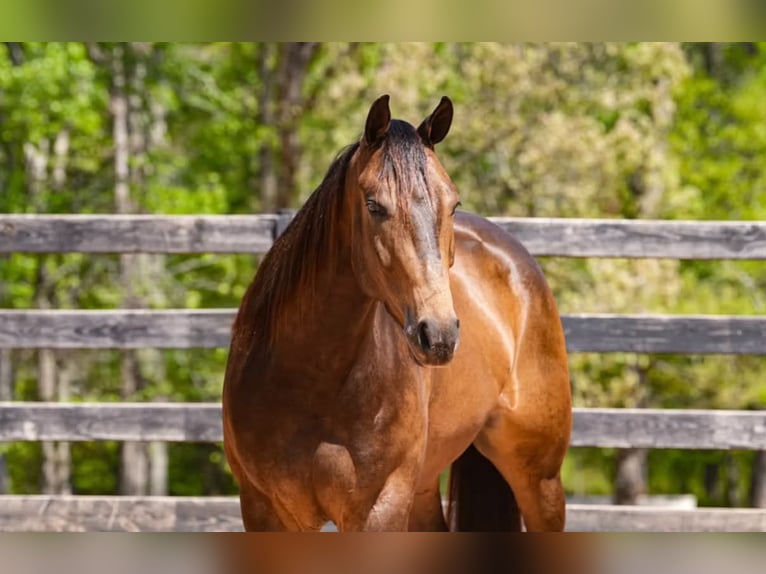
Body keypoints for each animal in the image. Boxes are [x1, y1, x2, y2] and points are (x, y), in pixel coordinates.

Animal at [222, 95, 571, 531]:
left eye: (453, 203)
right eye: (373, 205)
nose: (439, 335)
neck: (310, 380)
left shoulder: (379, 507)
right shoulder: (265, 510)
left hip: (540, 479)